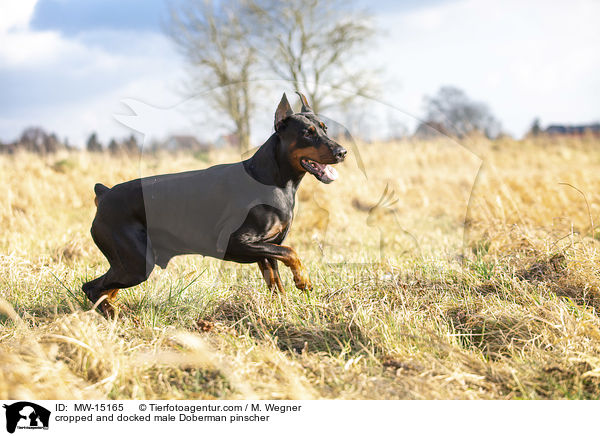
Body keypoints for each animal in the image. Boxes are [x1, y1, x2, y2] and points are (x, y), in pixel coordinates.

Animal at [82, 93, 350, 316]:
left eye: (325, 129)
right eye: (307, 132)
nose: (342, 152)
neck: (274, 181)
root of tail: (104, 194)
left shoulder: (269, 246)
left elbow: (277, 282)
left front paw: (285, 309)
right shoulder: (235, 243)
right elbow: (291, 252)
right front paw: (304, 280)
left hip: (130, 263)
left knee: (103, 289)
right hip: (137, 264)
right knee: (91, 288)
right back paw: (113, 314)